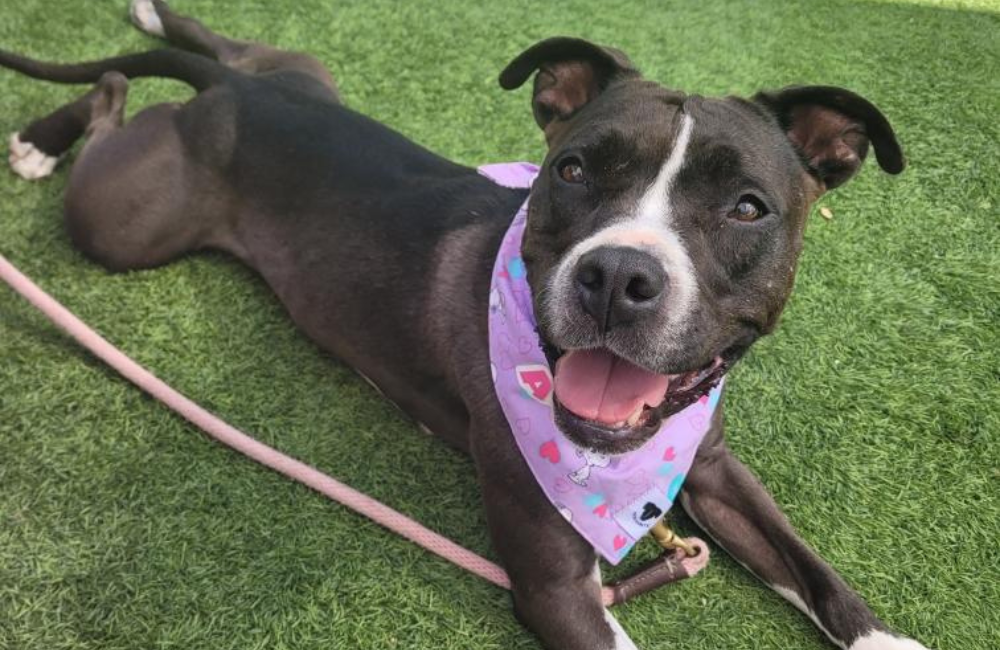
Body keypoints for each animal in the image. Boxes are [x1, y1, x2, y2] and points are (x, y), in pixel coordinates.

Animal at [1, 1, 928, 648]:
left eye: (747, 208)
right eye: (573, 169)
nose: (617, 277)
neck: (622, 463)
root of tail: (236, 96)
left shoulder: (713, 466)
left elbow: (818, 574)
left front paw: (887, 635)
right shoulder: (557, 589)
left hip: (295, 68)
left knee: (217, 46)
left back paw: (156, 19)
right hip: (123, 222)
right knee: (112, 98)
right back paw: (45, 137)